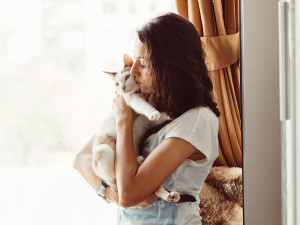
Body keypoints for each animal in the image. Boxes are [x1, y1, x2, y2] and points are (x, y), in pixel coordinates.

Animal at [91, 54, 180, 202]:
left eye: (127, 77)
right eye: (116, 84)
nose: (122, 88)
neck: (141, 93)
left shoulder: (148, 120)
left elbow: (157, 116)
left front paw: (168, 114)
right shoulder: (132, 101)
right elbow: (145, 106)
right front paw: (154, 112)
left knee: (154, 187)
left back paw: (170, 195)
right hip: (103, 151)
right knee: (116, 179)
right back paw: (137, 161)